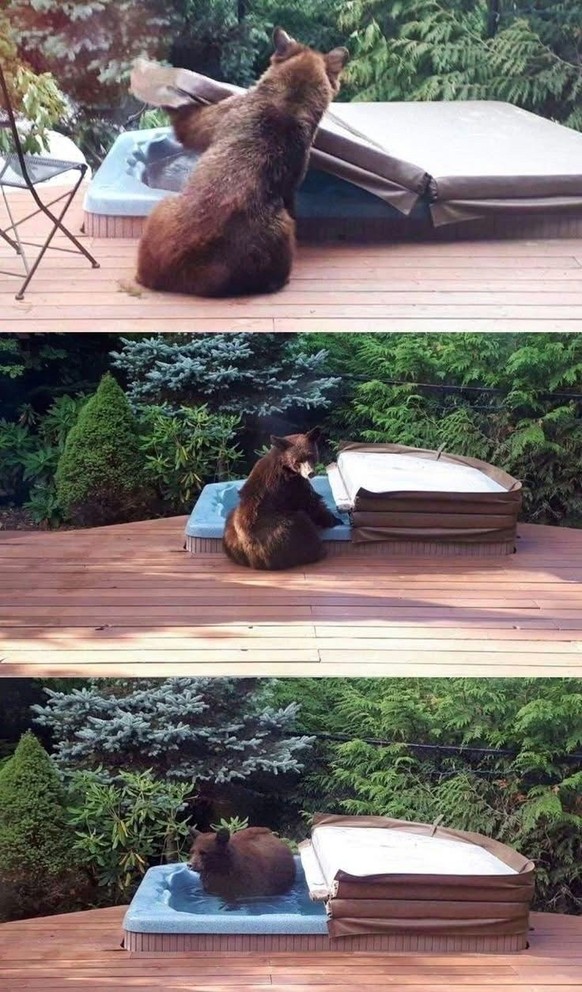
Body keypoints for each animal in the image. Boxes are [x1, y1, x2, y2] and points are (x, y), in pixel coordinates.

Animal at [223, 427, 343, 571]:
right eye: (297, 461)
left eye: (310, 455)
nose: (310, 473)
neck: (285, 464)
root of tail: (254, 558)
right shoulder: (291, 485)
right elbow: (311, 502)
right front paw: (335, 520)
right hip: (280, 529)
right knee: (301, 526)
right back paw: (318, 551)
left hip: (231, 531)